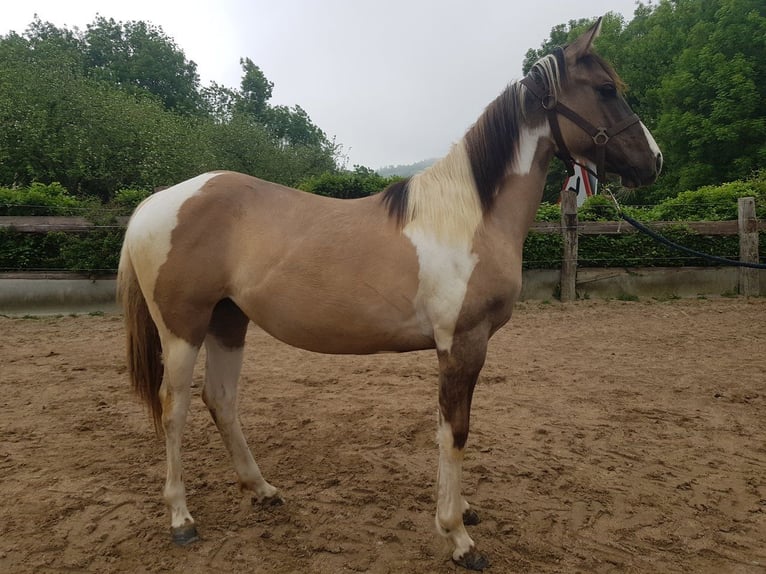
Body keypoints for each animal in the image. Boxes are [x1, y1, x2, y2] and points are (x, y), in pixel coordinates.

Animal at [118, 18, 661, 570]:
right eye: (606, 89)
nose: (654, 161)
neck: (468, 217)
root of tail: (154, 204)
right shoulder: (463, 343)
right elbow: (455, 431)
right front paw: (457, 536)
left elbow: (450, 427)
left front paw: (463, 511)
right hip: (183, 329)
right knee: (174, 408)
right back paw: (182, 520)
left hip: (228, 321)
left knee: (221, 399)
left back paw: (262, 490)